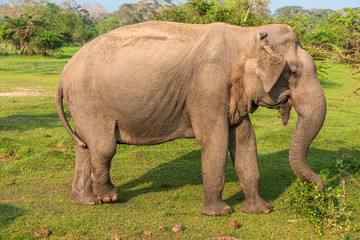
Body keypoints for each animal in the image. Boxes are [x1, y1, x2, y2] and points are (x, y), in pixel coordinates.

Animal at [55, 20, 326, 216]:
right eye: (292, 73)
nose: (318, 191)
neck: (246, 35)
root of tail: (64, 73)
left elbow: (245, 139)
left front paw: (261, 210)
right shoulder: (207, 86)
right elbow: (215, 139)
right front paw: (219, 214)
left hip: (82, 104)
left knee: (84, 146)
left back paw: (86, 202)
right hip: (89, 101)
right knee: (103, 147)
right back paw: (109, 196)